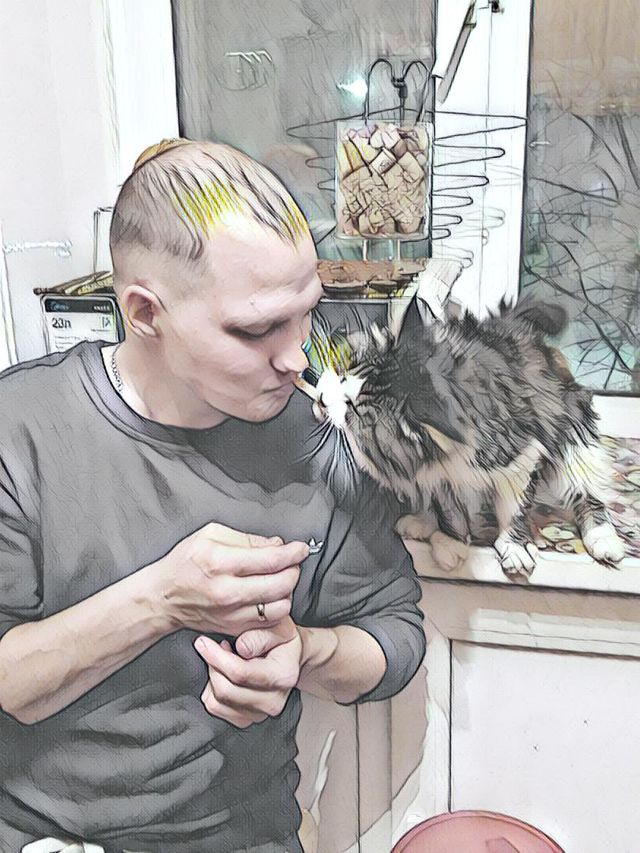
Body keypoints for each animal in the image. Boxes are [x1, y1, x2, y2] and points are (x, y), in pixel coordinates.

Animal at [309, 294, 626, 579]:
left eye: (352, 406)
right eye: (344, 375)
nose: (322, 400)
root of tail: (512, 321)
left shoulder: (524, 456)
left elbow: (516, 509)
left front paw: (516, 547)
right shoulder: (439, 474)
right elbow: (448, 510)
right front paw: (451, 542)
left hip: (574, 439)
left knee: (589, 494)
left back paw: (604, 540)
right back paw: (421, 523)